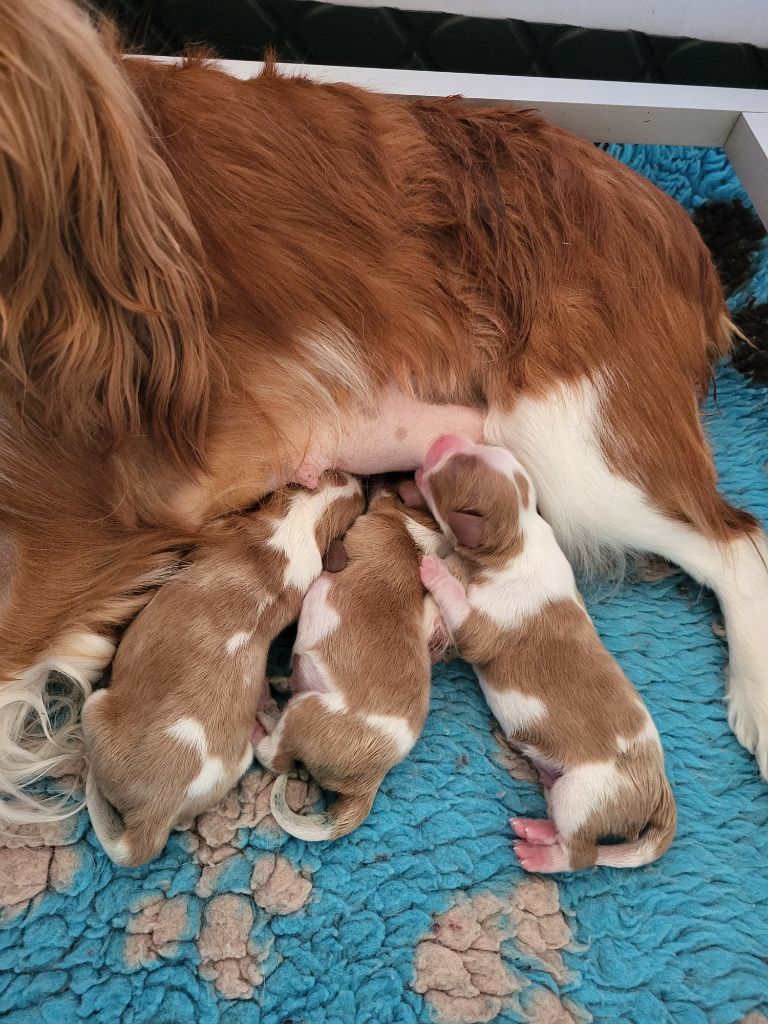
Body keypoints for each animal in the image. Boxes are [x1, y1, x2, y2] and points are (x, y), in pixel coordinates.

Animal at [256, 487, 448, 839]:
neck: (415, 535)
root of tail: (368, 785)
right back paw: (279, 684)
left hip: (305, 713)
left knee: (276, 759)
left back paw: (264, 712)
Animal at [417, 436, 675, 876]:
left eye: (453, 468)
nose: (443, 438)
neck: (520, 536)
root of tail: (656, 790)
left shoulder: (479, 630)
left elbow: (458, 607)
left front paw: (435, 569)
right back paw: (537, 829)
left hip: (584, 795)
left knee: (582, 855)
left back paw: (539, 857)